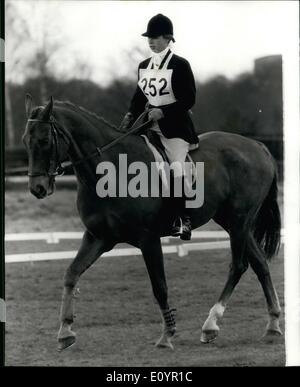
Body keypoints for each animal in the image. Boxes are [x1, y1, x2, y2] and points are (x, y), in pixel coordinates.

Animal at [22, 94, 282, 352]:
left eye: (45, 140)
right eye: (26, 141)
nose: (38, 188)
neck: (110, 171)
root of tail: (257, 146)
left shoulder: (148, 239)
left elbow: (159, 287)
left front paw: (167, 336)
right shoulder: (99, 237)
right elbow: (71, 274)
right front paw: (65, 332)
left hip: (239, 221)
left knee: (238, 265)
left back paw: (210, 325)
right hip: (232, 221)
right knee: (260, 263)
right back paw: (272, 326)